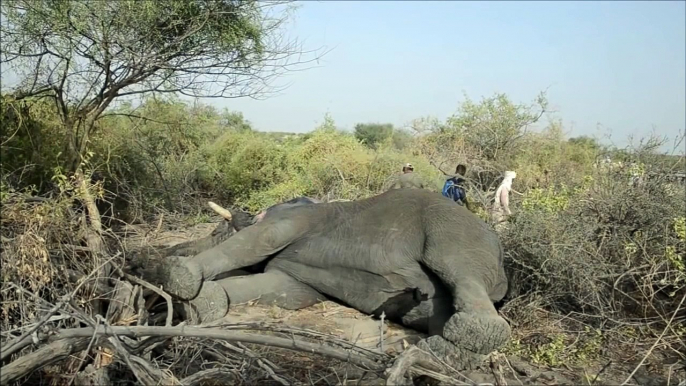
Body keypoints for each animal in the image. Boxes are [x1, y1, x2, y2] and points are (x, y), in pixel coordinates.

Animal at [133, 188, 510, 370]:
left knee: (458, 267)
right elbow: (284, 291)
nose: (141, 263)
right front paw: (202, 308)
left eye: (218, 231)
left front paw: (177, 275)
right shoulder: (293, 276)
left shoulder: (298, 220)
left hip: (454, 229)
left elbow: (261, 239)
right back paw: (438, 355)